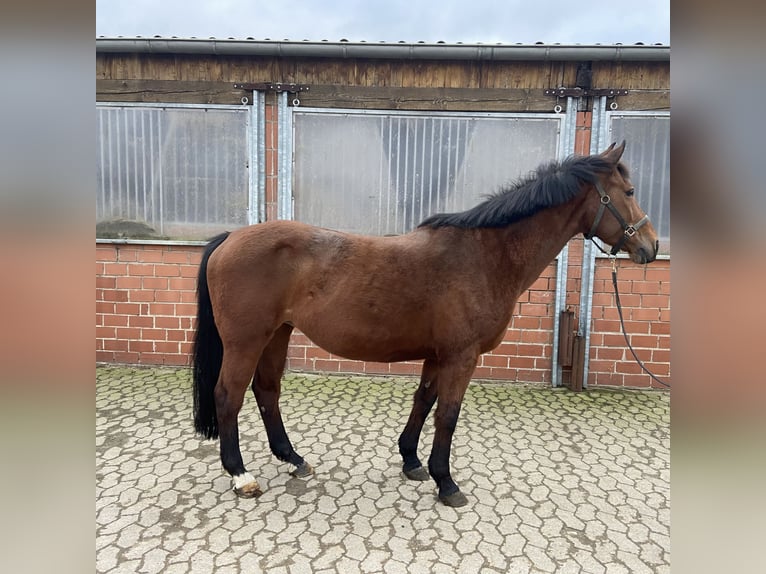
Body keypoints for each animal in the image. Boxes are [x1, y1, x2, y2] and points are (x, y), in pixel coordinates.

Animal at [192, 141, 660, 508]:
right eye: (630, 191)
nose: (651, 246)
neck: (486, 256)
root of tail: (230, 238)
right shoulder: (461, 356)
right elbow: (448, 414)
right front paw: (446, 482)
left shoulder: (439, 355)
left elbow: (424, 401)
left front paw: (412, 461)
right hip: (246, 341)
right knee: (228, 395)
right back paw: (241, 476)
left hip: (277, 335)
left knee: (267, 392)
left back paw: (293, 459)